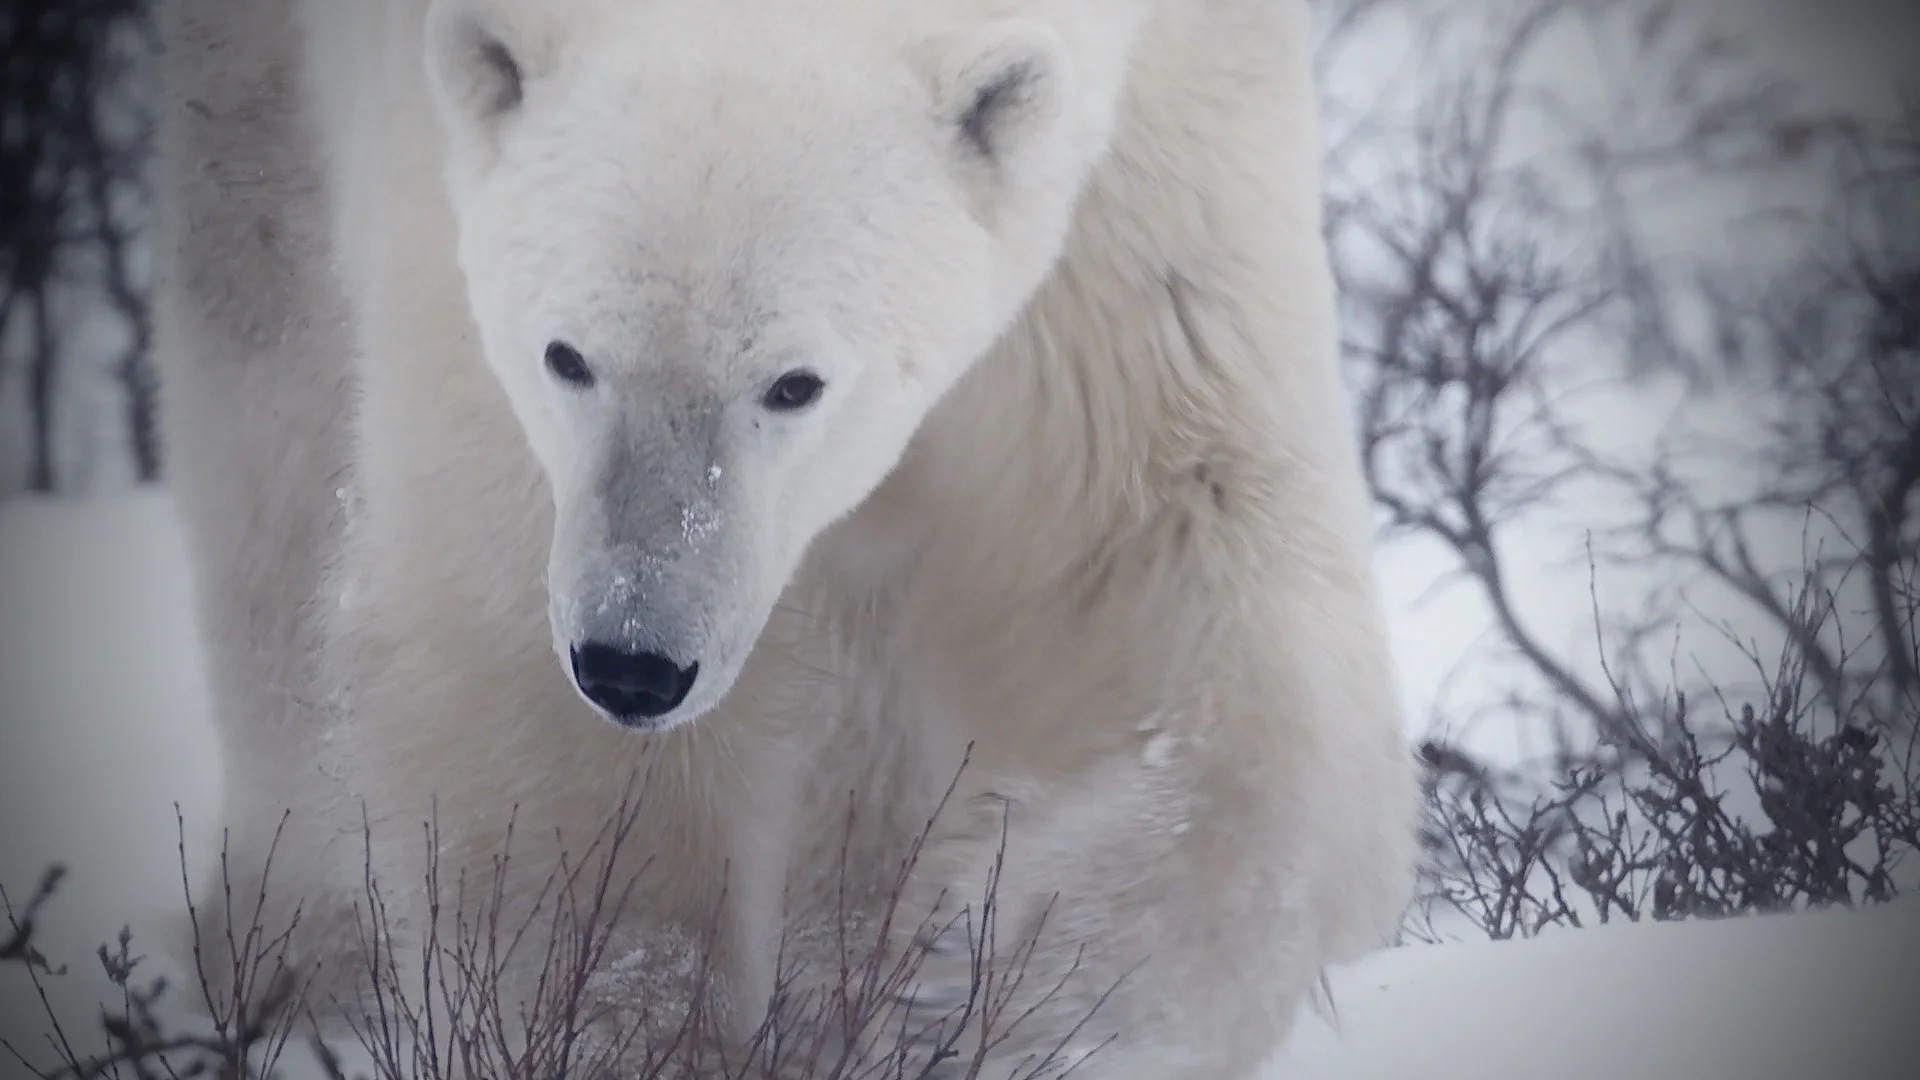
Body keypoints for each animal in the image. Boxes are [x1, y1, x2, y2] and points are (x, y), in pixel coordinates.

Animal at [149, 0, 1419, 1076]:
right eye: (567, 357)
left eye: (794, 383)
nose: (633, 663)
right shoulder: (449, 250)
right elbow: (513, 674)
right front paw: (621, 1015)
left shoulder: (1161, 168)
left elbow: (1181, 558)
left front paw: (987, 999)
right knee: (264, 370)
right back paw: (292, 946)